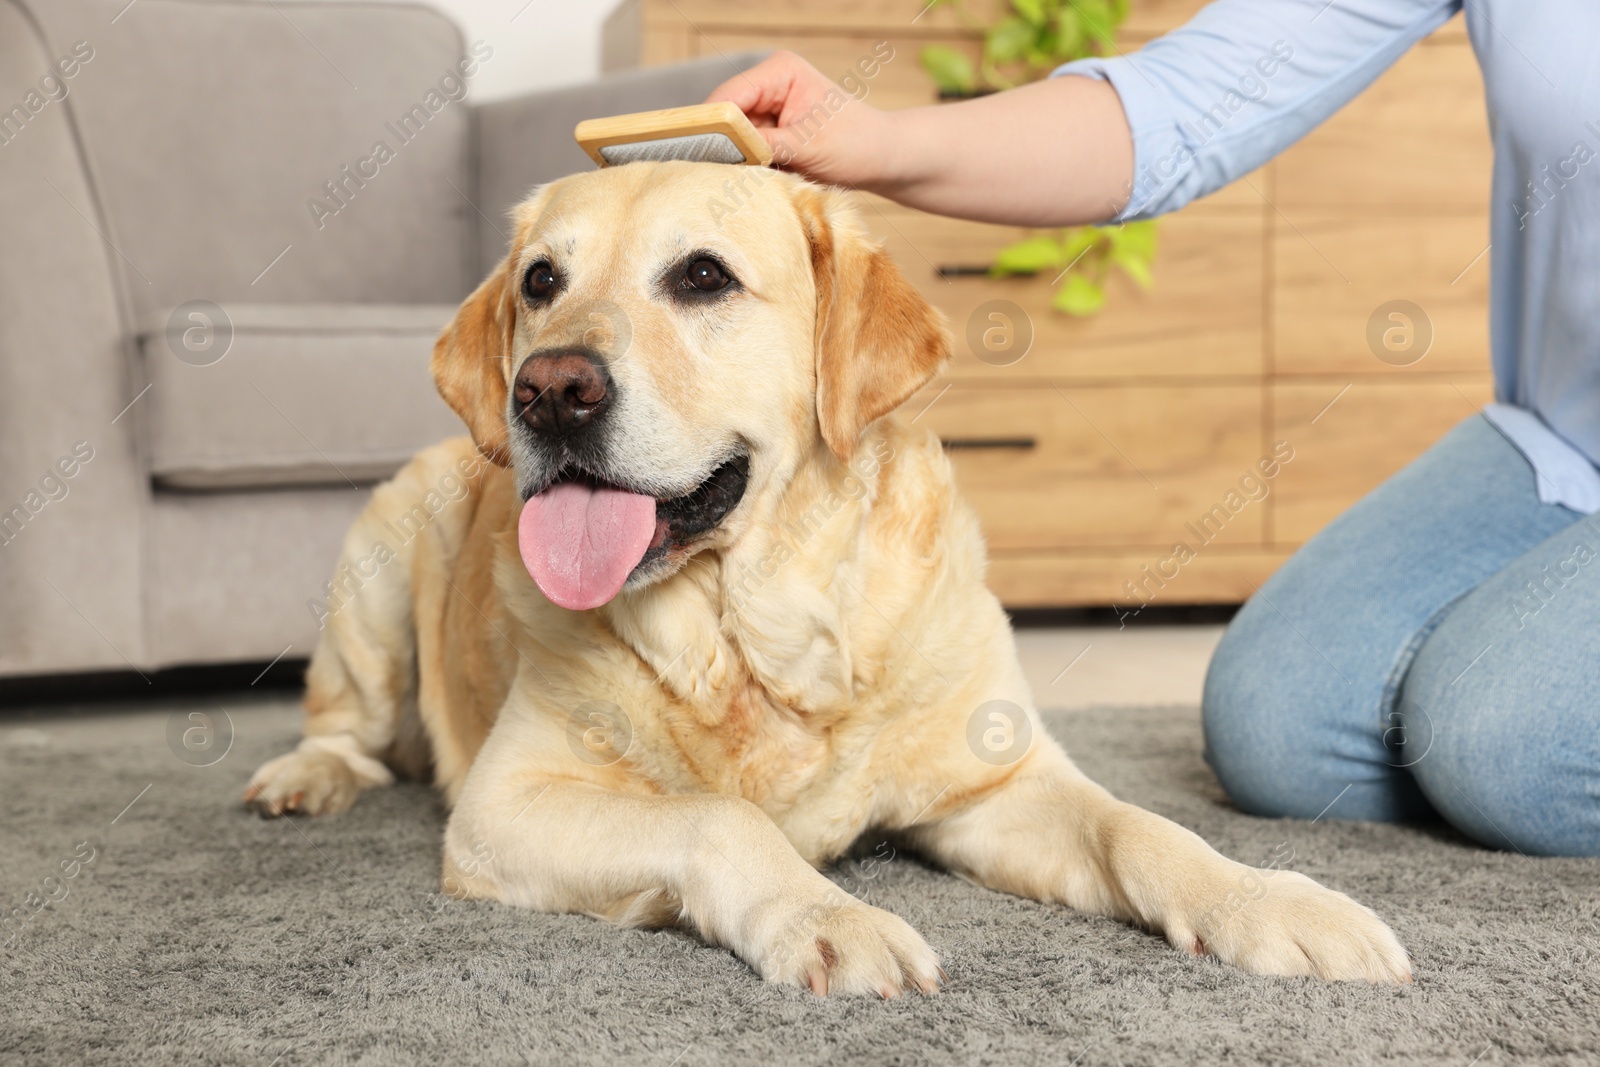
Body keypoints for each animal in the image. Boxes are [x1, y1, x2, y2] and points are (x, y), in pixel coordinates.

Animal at [243, 163, 1408, 998]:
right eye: (540, 281)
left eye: (702, 275)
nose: (548, 390)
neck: (755, 630)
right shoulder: (504, 804)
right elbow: (720, 818)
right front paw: (830, 917)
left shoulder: (994, 784)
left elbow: (1141, 826)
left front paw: (1272, 901)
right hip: (380, 555)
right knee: (346, 720)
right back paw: (304, 778)